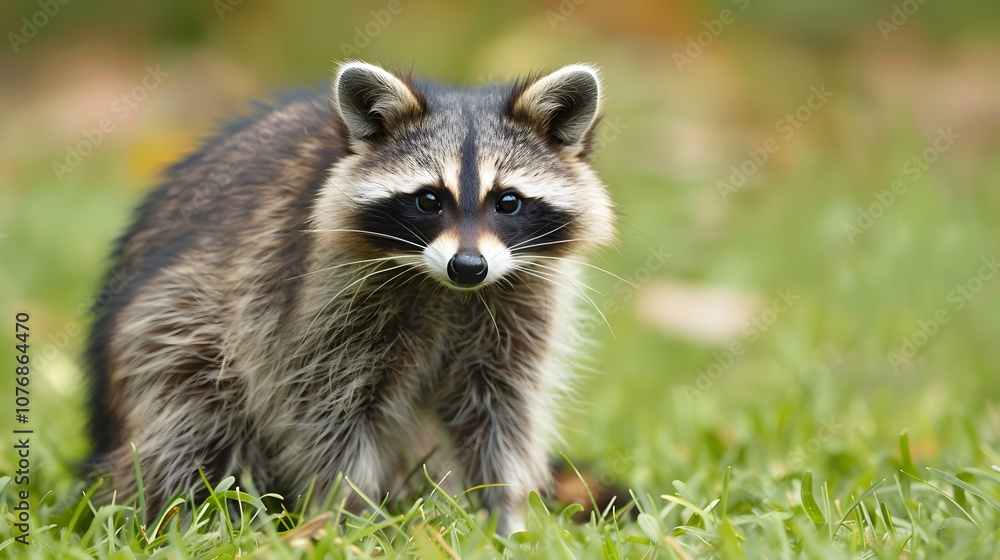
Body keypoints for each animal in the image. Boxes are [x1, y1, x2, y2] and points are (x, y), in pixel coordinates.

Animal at [86, 60, 615, 535]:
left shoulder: (519, 302)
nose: (468, 267)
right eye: (429, 200)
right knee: (188, 410)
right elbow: (325, 411)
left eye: (508, 202)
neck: (446, 290)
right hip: (173, 317)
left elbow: (500, 412)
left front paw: (500, 514)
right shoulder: (312, 297)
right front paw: (350, 517)